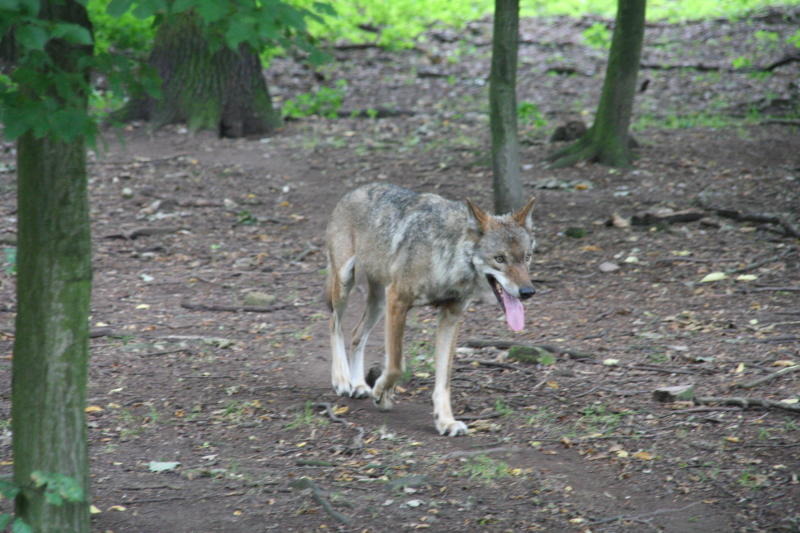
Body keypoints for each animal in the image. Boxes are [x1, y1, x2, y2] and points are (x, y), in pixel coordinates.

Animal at [322, 184, 536, 436]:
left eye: (527, 257)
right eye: (500, 259)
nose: (527, 291)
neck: (449, 258)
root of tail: (355, 190)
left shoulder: (450, 318)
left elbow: (443, 381)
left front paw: (445, 421)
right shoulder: (398, 301)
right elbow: (396, 365)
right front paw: (382, 394)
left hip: (378, 303)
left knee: (356, 334)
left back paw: (357, 384)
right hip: (346, 283)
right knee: (334, 323)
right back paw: (342, 380)